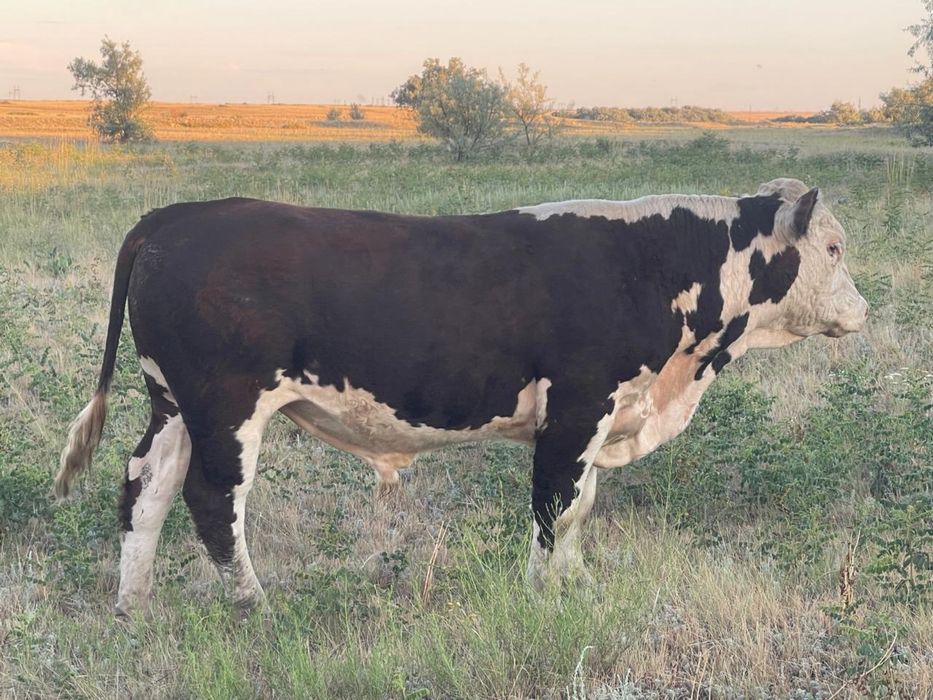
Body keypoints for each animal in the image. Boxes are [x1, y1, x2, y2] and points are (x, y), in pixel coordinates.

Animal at [55, 178, 867, 616]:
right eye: (833, 248)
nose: (862, 310)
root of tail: (179, 214)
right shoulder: (577, 405)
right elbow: (556, 507)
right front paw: (545, 596)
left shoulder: (601, 414)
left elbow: (580, 509)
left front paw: (579, 585)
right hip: (226, 403)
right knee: (213, 497)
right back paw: (256, 605)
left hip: (173, 403)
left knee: (146, 487)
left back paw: (134, 605)